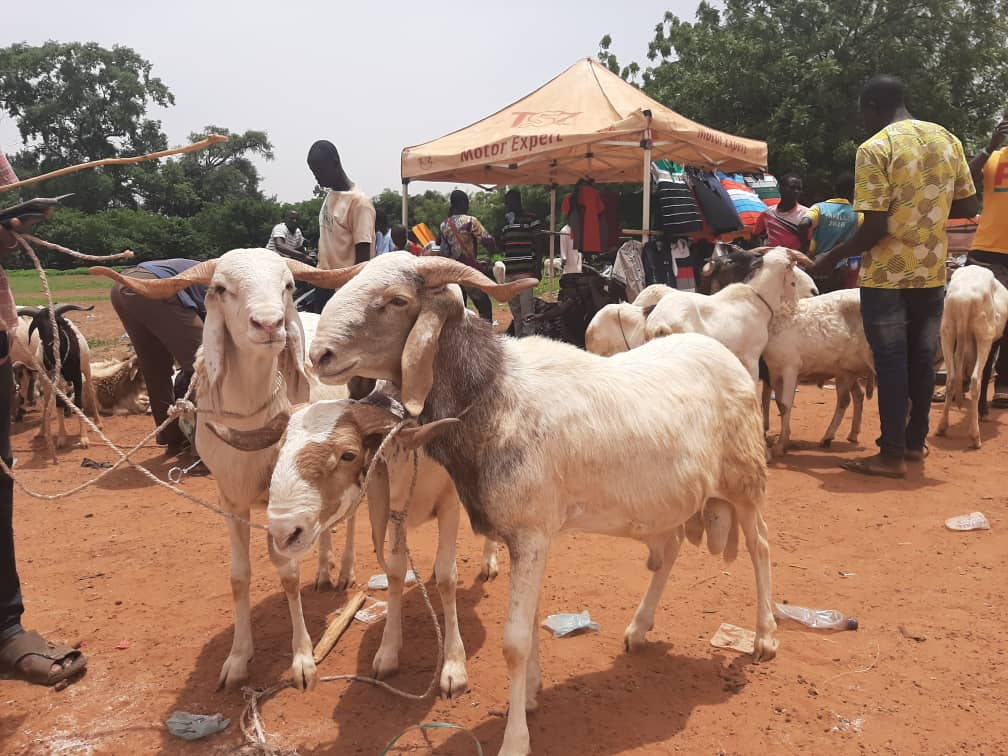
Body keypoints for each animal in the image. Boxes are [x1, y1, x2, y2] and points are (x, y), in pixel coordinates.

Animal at [88, 249, 360, 693]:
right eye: (220, 288)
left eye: (288, 284)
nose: (269, 324)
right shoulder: (230, 498)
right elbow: (238, 576)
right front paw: (237, 659)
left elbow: (287, 573)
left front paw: (303, 659)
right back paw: (323, 570)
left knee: (349, 515)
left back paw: (345, 571)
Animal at [294, 255, 774, 756]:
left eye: (397, 300)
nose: (319, 355)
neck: (493, 396)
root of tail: (726, 356)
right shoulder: (527, 536)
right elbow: (532, 620)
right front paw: (532, 693)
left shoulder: (530, 534)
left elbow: (515, 643)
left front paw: (515, 738)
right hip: (671, 499)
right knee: (674, 547)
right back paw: (639, 629)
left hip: (744, 479)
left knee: (759, 546)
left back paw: (764, 638)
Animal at [935, 264, 1008, 449]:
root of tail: (964, 299)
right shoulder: (995, 340)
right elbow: (987, 373)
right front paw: (984, 413)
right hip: (984, 336)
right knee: (976, 380)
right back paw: (975, 437)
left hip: (947, 332)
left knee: (951, 378)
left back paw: (942, 427)